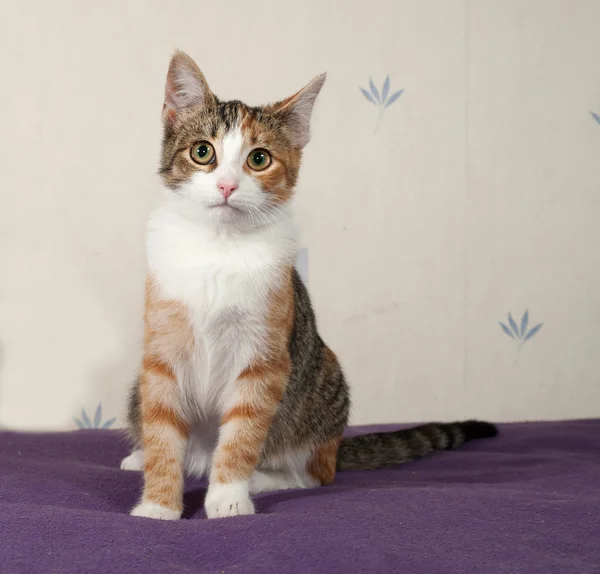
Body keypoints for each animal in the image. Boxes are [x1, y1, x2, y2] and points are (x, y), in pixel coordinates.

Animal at [122, 50, 496, 520]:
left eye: (259, 159)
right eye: (202, 152)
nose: (226, 185)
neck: (219, 246)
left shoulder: (265, 358)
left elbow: (243, 432)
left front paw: (228, 496)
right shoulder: (162, 352)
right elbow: (162, 429)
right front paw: (158, 504)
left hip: (323, 380)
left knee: (314, 473)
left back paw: (262, 478)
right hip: (137, 387)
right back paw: (143, 458)